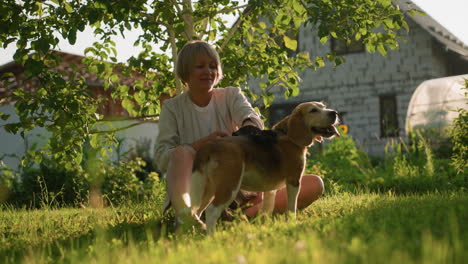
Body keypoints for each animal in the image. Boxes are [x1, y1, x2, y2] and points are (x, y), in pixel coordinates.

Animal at [188, 101, 338, 233]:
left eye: (323, 106)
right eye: (313, 110)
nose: (334, 113)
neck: (288, 135)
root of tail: (210, 146)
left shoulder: (270, 190)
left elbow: (267, 209)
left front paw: (266, 227)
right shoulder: (293, 181)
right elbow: (291, 208)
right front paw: (292, 224)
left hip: (207, 190)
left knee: (196, 212)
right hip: (229, 187)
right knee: (211, 211)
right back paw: (212, 236)